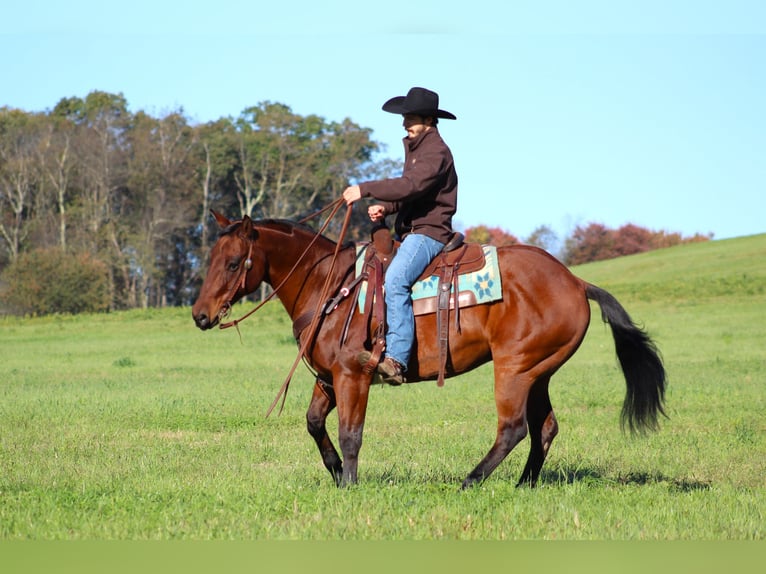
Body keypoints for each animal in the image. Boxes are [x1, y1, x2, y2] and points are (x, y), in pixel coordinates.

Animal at [192, 212, 664, 490]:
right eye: (211, 258)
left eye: (233, 263)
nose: (200, 315)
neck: (331, 286)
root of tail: (575, 281)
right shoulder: (327, 378)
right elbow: (313, 423)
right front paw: (336, 473)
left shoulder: (353, 376)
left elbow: (351, 433)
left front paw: (350, 484)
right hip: (538, 372)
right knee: (544, 428)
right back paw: (523, 485)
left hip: (514, 368)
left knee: (513, 429)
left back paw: (470, 482)